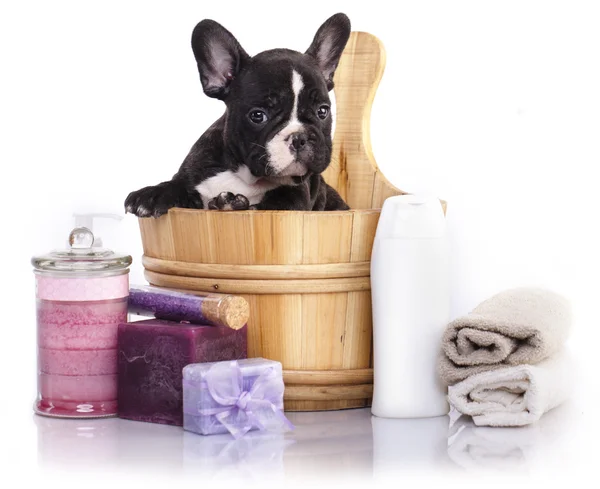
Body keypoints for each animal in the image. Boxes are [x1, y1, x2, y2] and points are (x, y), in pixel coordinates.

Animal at [126, 13, 352, 216]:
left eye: (322, 111)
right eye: (258, 115)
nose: (300, 137)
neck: (244, 176)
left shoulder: (295, 198)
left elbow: (270, 206)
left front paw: (233, 204)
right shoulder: (190, 176)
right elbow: (177, 185)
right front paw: (153, 194)